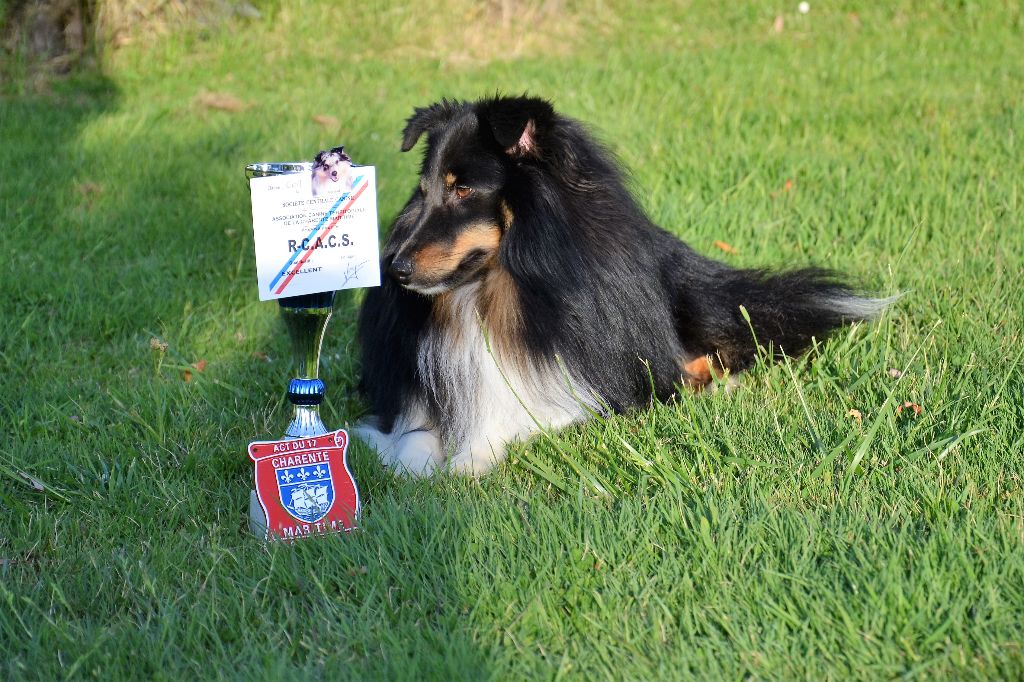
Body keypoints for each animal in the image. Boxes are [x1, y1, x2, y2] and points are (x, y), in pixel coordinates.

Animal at [352, 95, 888, 475]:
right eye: (424, 191)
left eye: (463, 189)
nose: (395, 269)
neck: (490, 296)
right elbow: (414, 438)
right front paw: (415, 461)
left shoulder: (587, 388)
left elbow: (526, 416)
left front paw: (472, 456)